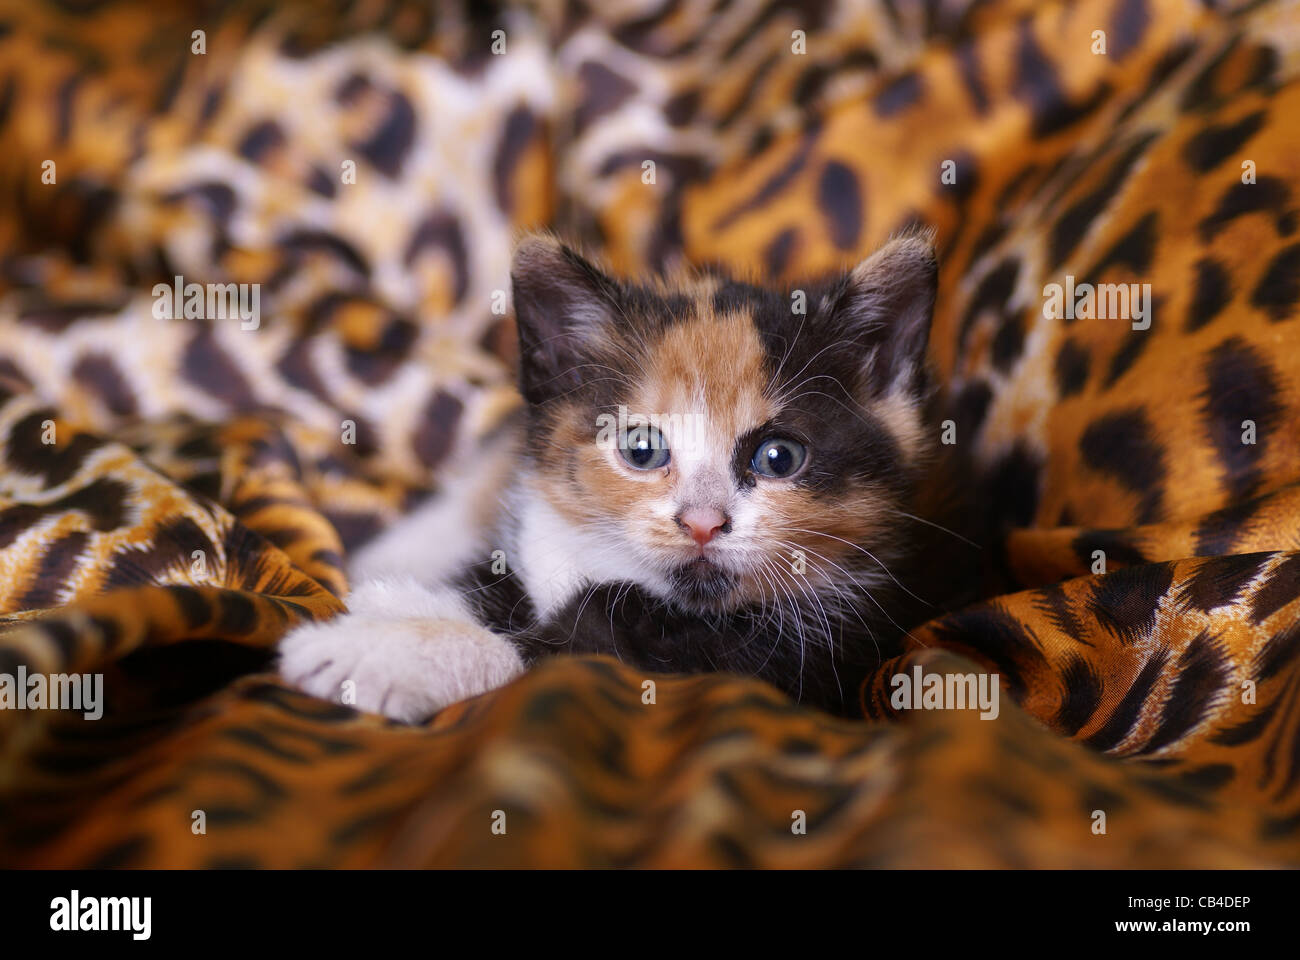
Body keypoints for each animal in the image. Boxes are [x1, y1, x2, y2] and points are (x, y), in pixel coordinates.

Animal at [279, 230, 977, 718]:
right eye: (642, 450)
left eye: (779, 458)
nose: (703, 522)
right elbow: (492, 586)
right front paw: (391, 606)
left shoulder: (805, 655)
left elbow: (551, 653)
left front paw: (372, 654)